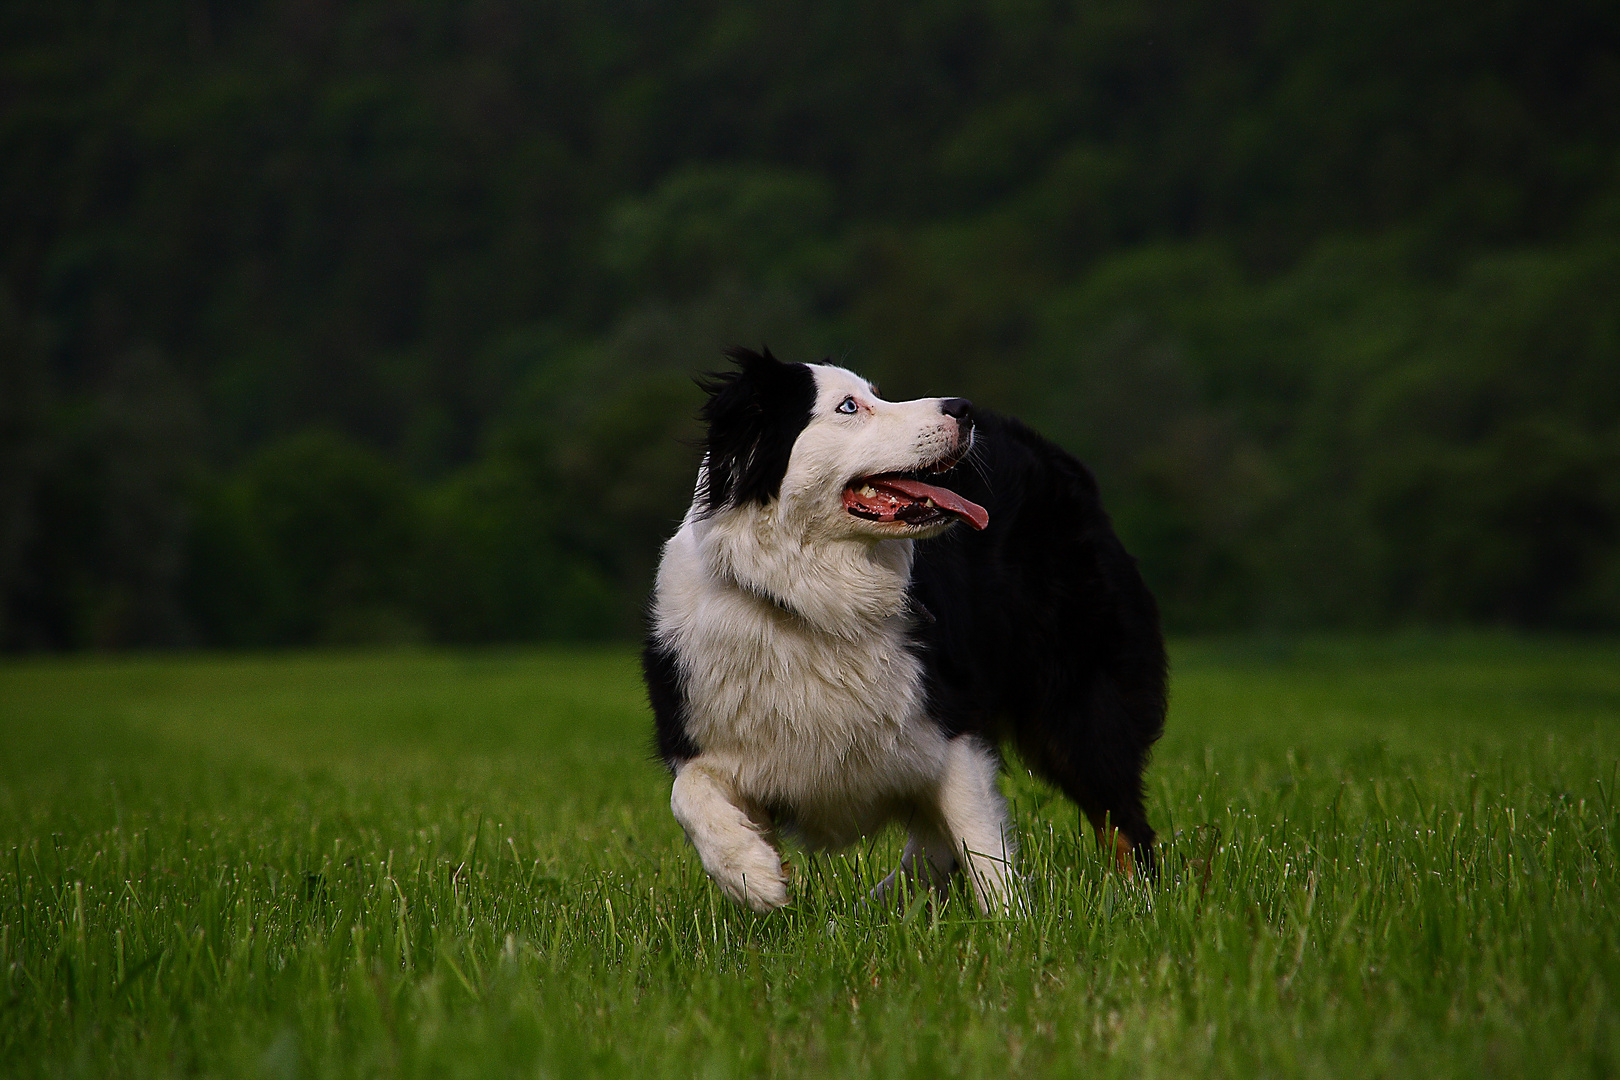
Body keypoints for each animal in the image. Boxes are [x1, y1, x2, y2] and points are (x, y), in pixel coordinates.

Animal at [644, 346, 1166, 913]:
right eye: (849, 407)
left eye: (875, 394)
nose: (963, 409)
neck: (811, 601)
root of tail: (1051, 453)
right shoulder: (695, 720)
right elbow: (685, 793)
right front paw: (752, 875)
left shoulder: (950, 719)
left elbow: (983, 846)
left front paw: (1012, 924)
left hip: (1077, 701)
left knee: (1122, 821)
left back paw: (1141, 904)